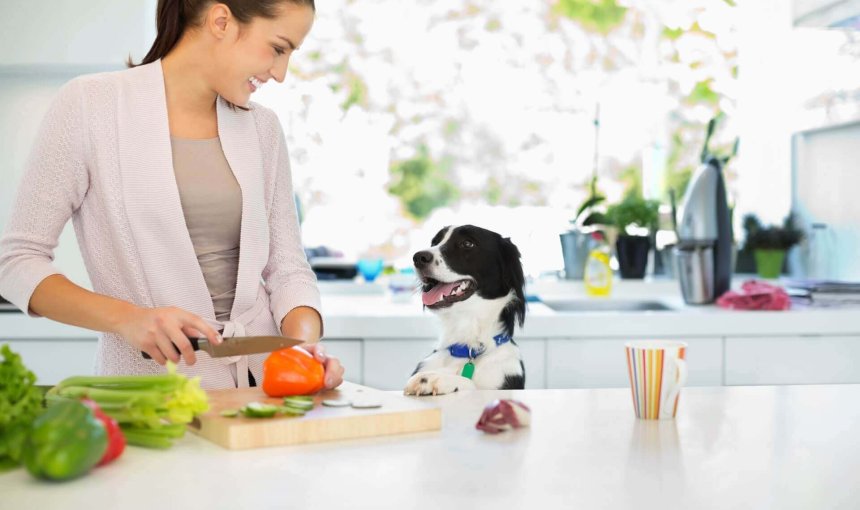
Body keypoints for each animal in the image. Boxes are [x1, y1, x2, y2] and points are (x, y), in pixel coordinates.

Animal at [402, 225, 524, 396]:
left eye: (467, 243)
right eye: (435, 242)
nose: (418, 257)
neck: (467, 348)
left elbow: (472, 385)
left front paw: (434, 379)